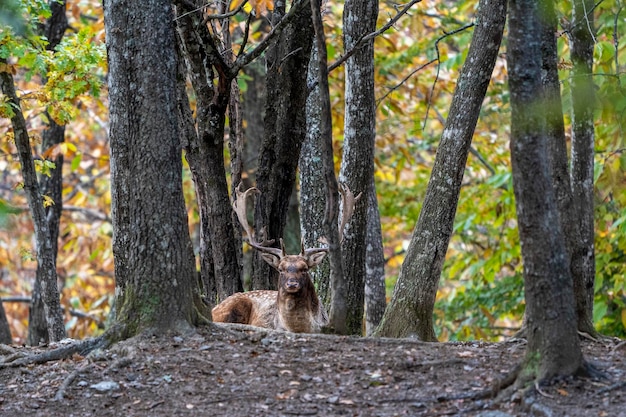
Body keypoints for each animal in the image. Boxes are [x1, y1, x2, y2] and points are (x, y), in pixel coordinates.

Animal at [210, 184, 358, 334]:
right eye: (281, 269)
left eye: (305, 269)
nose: (292, 284)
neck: (298, 328)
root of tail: (214, 307)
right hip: (232, 306)